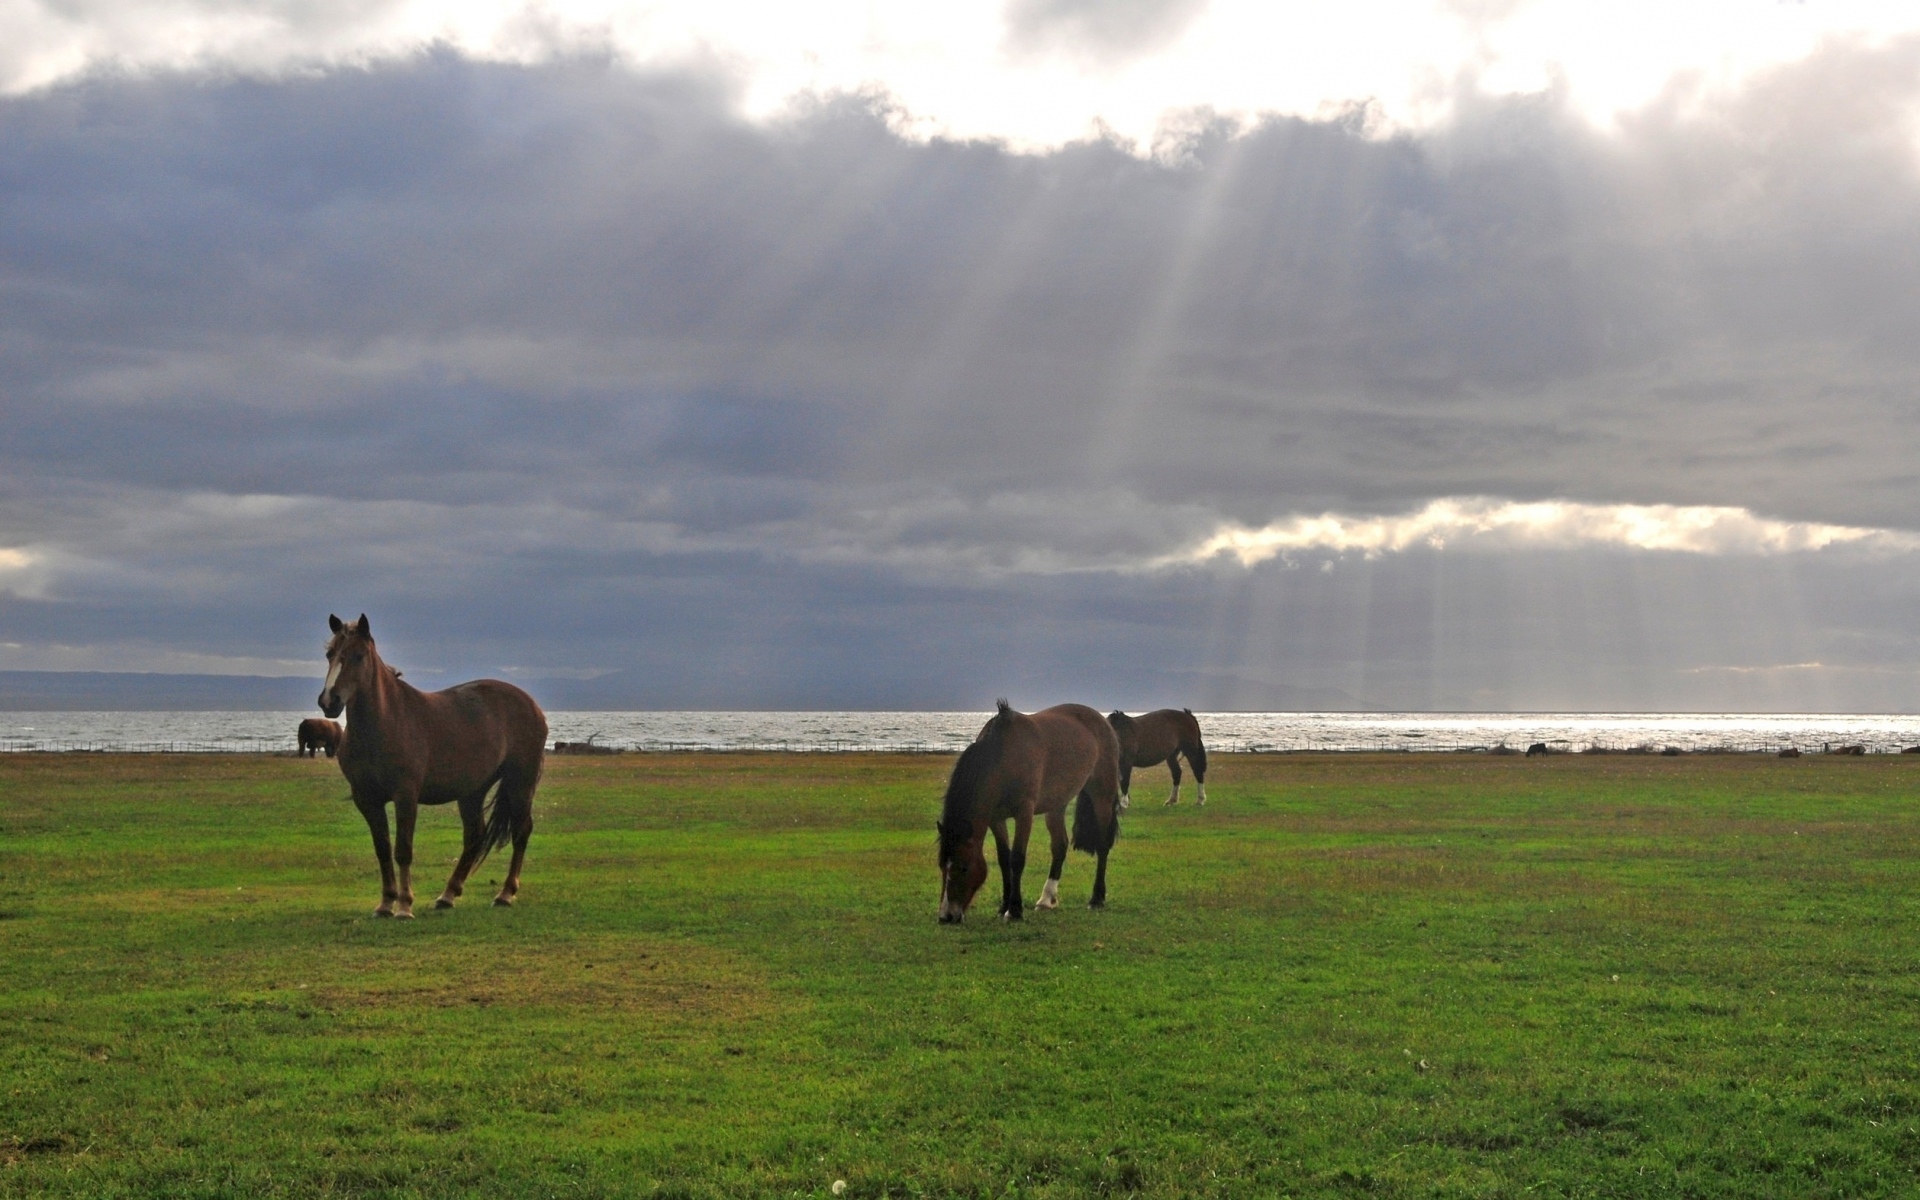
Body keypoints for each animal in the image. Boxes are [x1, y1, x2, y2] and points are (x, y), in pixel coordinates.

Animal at [318, 614, 547, 918]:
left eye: (358, 656)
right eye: (330, 654)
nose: (329, 701)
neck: (385, 723)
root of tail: (532, 705)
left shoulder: (405, 796)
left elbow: (403, 850)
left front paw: (404, 906)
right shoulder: (367, 800)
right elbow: (383, 849)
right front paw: (385, 903)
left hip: (520, 782)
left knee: (521, 831)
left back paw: (505, 894)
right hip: (472, 791)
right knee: (474, 836)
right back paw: (448, 895)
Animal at [936, 700, 1122, 923]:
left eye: (964, 867)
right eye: (941, 866)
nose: (946, 916)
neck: (1002, 756)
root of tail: (1102, 721)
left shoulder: (1024, 812)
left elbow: (1016, 858)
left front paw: (1014, 910)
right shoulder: (996, 818)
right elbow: (1004, 859)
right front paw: (1004, 906)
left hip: (1102, 795)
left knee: (1103, 846)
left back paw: (1097, 898)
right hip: (1056, 804)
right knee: (1059, 846)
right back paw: (1046, 899)